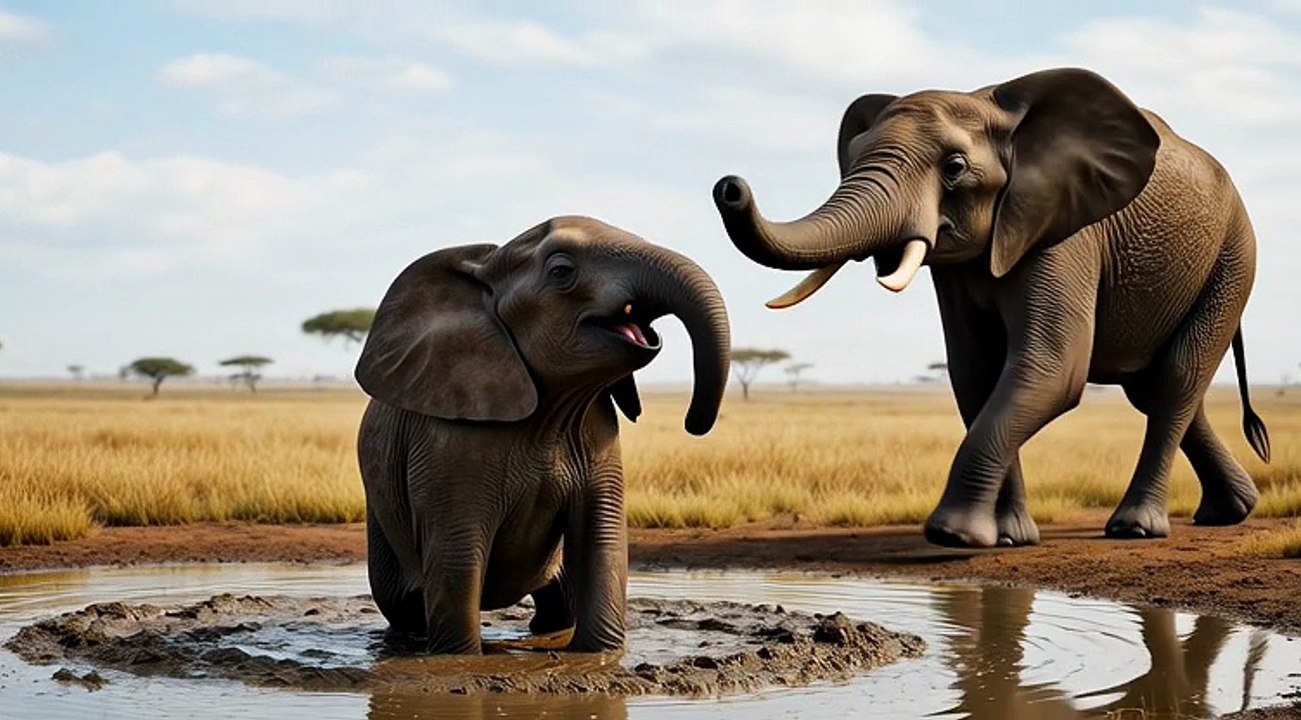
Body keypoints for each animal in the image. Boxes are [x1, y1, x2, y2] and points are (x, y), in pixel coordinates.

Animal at [354, 216, 731, 653]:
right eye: (562, 272)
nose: (694, 423)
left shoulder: (598, 436)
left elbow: (601, 540)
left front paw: (599, 656)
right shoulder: (447, 446)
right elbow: (457, 557)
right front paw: (459, 659)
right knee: (401, 603)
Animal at [712, 67, 1270, 548]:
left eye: (955, 169)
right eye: (850, 158)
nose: (729, 186)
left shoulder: (1061, 231)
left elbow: (1051, 369)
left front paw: (954, 536)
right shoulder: (958, 269)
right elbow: (975, 371)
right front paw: (1009, 538)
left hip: (1234, 256)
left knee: (1176, 377)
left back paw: (1136, 528)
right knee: (1153, 386)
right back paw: (1230, 512)